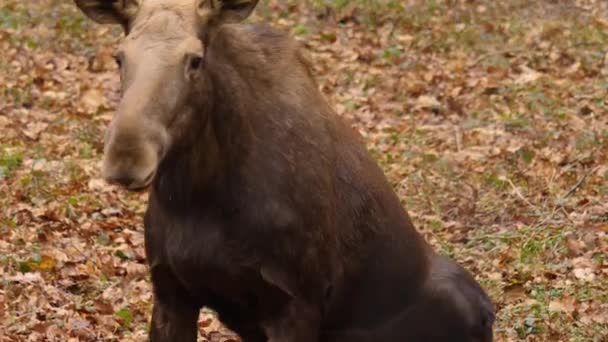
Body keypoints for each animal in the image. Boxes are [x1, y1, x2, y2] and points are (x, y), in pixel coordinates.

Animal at [72, 0, 494, 340]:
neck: (198, 194)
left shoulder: (294, 304)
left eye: (195, 59)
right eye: (119, 57)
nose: (126, 155)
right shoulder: (171, 291)